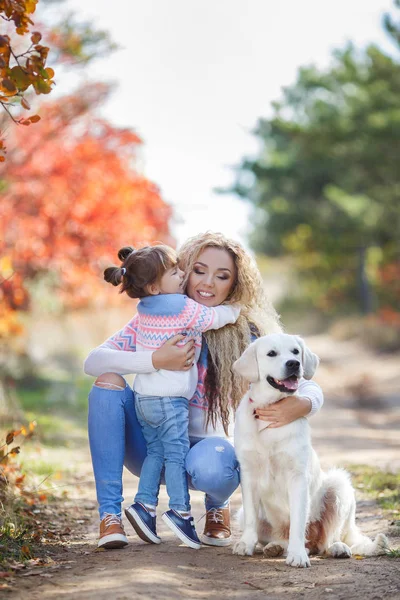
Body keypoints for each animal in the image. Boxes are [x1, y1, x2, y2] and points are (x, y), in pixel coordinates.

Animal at [231, 332, 388, 568]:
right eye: (271, 353)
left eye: (295, 351)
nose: (293, 364)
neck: (271, 410)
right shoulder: (248, 474)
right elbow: (251, 516)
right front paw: (245, 544)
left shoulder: (297, 476)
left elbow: (298, 521)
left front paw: (297, 555)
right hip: (247, 515)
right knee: (282, 537)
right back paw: (275, 547)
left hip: (338, 487)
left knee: (326, 541)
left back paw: (336, 548)